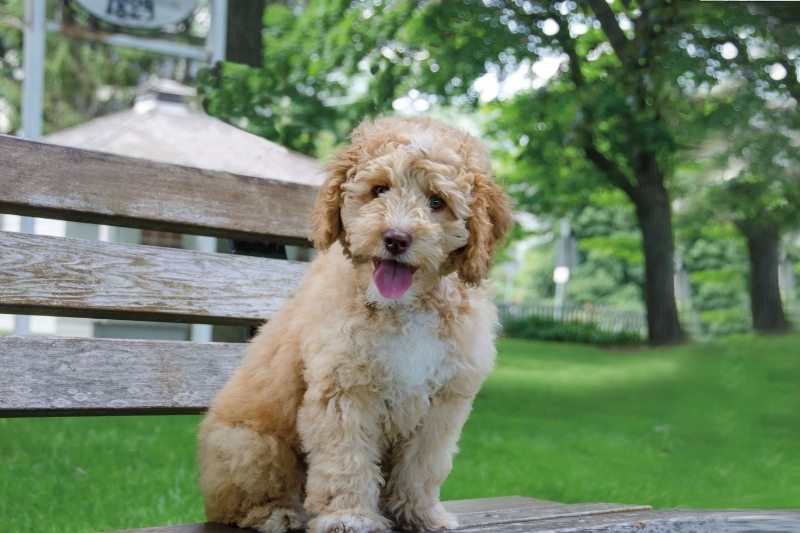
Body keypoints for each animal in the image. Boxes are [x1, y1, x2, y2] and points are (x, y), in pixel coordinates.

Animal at [199, 115, 512, 532]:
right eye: (379, 189)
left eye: (436, 202)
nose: (395, 238)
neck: (403, 308)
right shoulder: (345, 388)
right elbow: (345, 458)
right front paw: (348, 516)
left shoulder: (443, 401)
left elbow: (423, 464)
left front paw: (421, 514)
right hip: (254, 446)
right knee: (239, 501)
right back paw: (276, 513)